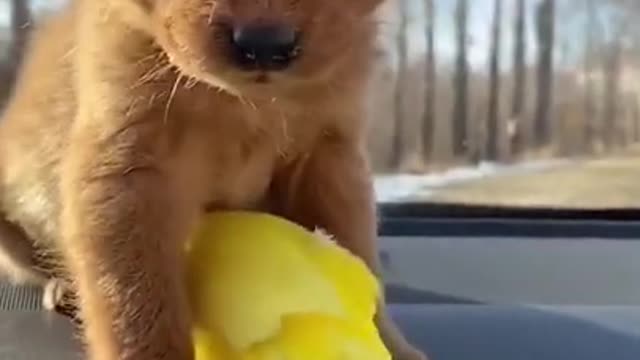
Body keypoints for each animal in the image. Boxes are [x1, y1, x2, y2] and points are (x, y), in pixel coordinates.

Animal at [1, 0, 430, 360]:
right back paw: (61, 287)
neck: (245, 105)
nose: (264, 45)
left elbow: (357, 250)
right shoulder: (127, 171)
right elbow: (136, 299)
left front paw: (391, 344)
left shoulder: (329, 156)